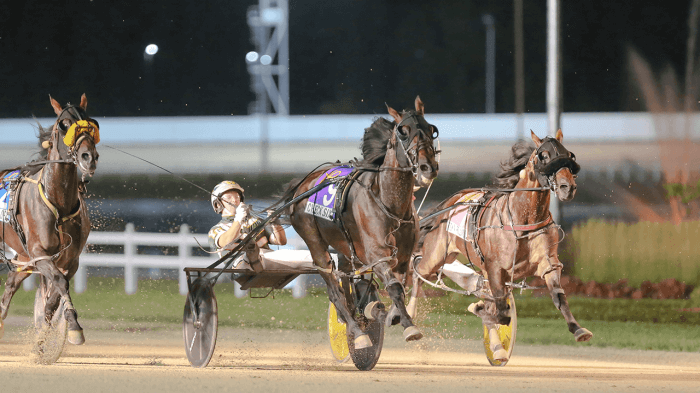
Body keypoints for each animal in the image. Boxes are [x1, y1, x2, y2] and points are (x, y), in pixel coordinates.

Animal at [0, 95, 100, 350]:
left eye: (91, 124)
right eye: (64, 125)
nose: (88, 157)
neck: (58, 201)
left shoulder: (69, 260)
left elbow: (54, 295)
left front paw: (44, 335)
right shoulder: (39, 254)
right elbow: (59, 282)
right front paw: (74, 327)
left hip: (23, 257)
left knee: (11, 284)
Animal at [274, 97, 438, 350]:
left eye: (431, 129)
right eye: (403, 132)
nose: (427, 167)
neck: (389, 202)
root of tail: (303, 184)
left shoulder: (402, 256)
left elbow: (400, 284)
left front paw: (390, 314)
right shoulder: (375, 254)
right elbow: (394, 287)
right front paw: (409, 327)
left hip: (344, 246)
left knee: (346, 281)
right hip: (315, 242)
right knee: (334, 290)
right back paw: (358, 333)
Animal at [410, 130, 592, 360]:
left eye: (569, 155)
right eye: (543, 156)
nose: (567, 187)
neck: (521, 220)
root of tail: (449, 204)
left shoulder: (547, 264)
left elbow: (558, 296)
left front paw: (578, 329)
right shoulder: (495, 269)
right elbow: (501, 313)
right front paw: (481, 310)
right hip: (437, 255)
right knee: (418, 273)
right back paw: (409, 322)